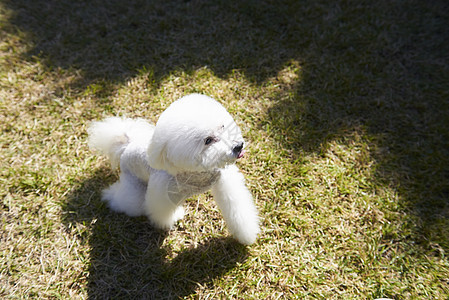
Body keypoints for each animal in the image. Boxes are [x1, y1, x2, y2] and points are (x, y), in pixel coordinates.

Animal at [87, 95, 260, 245]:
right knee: (123, 200)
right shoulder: (161, 194)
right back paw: (110, 196)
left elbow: (238, 211)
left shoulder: (225, 182)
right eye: (208, 140)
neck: (196, 172)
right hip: (133, 188)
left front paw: (247, 235)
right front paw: (169, 220)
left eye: (222, 126)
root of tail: (125, 146)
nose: (238, 147)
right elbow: (160, 212)